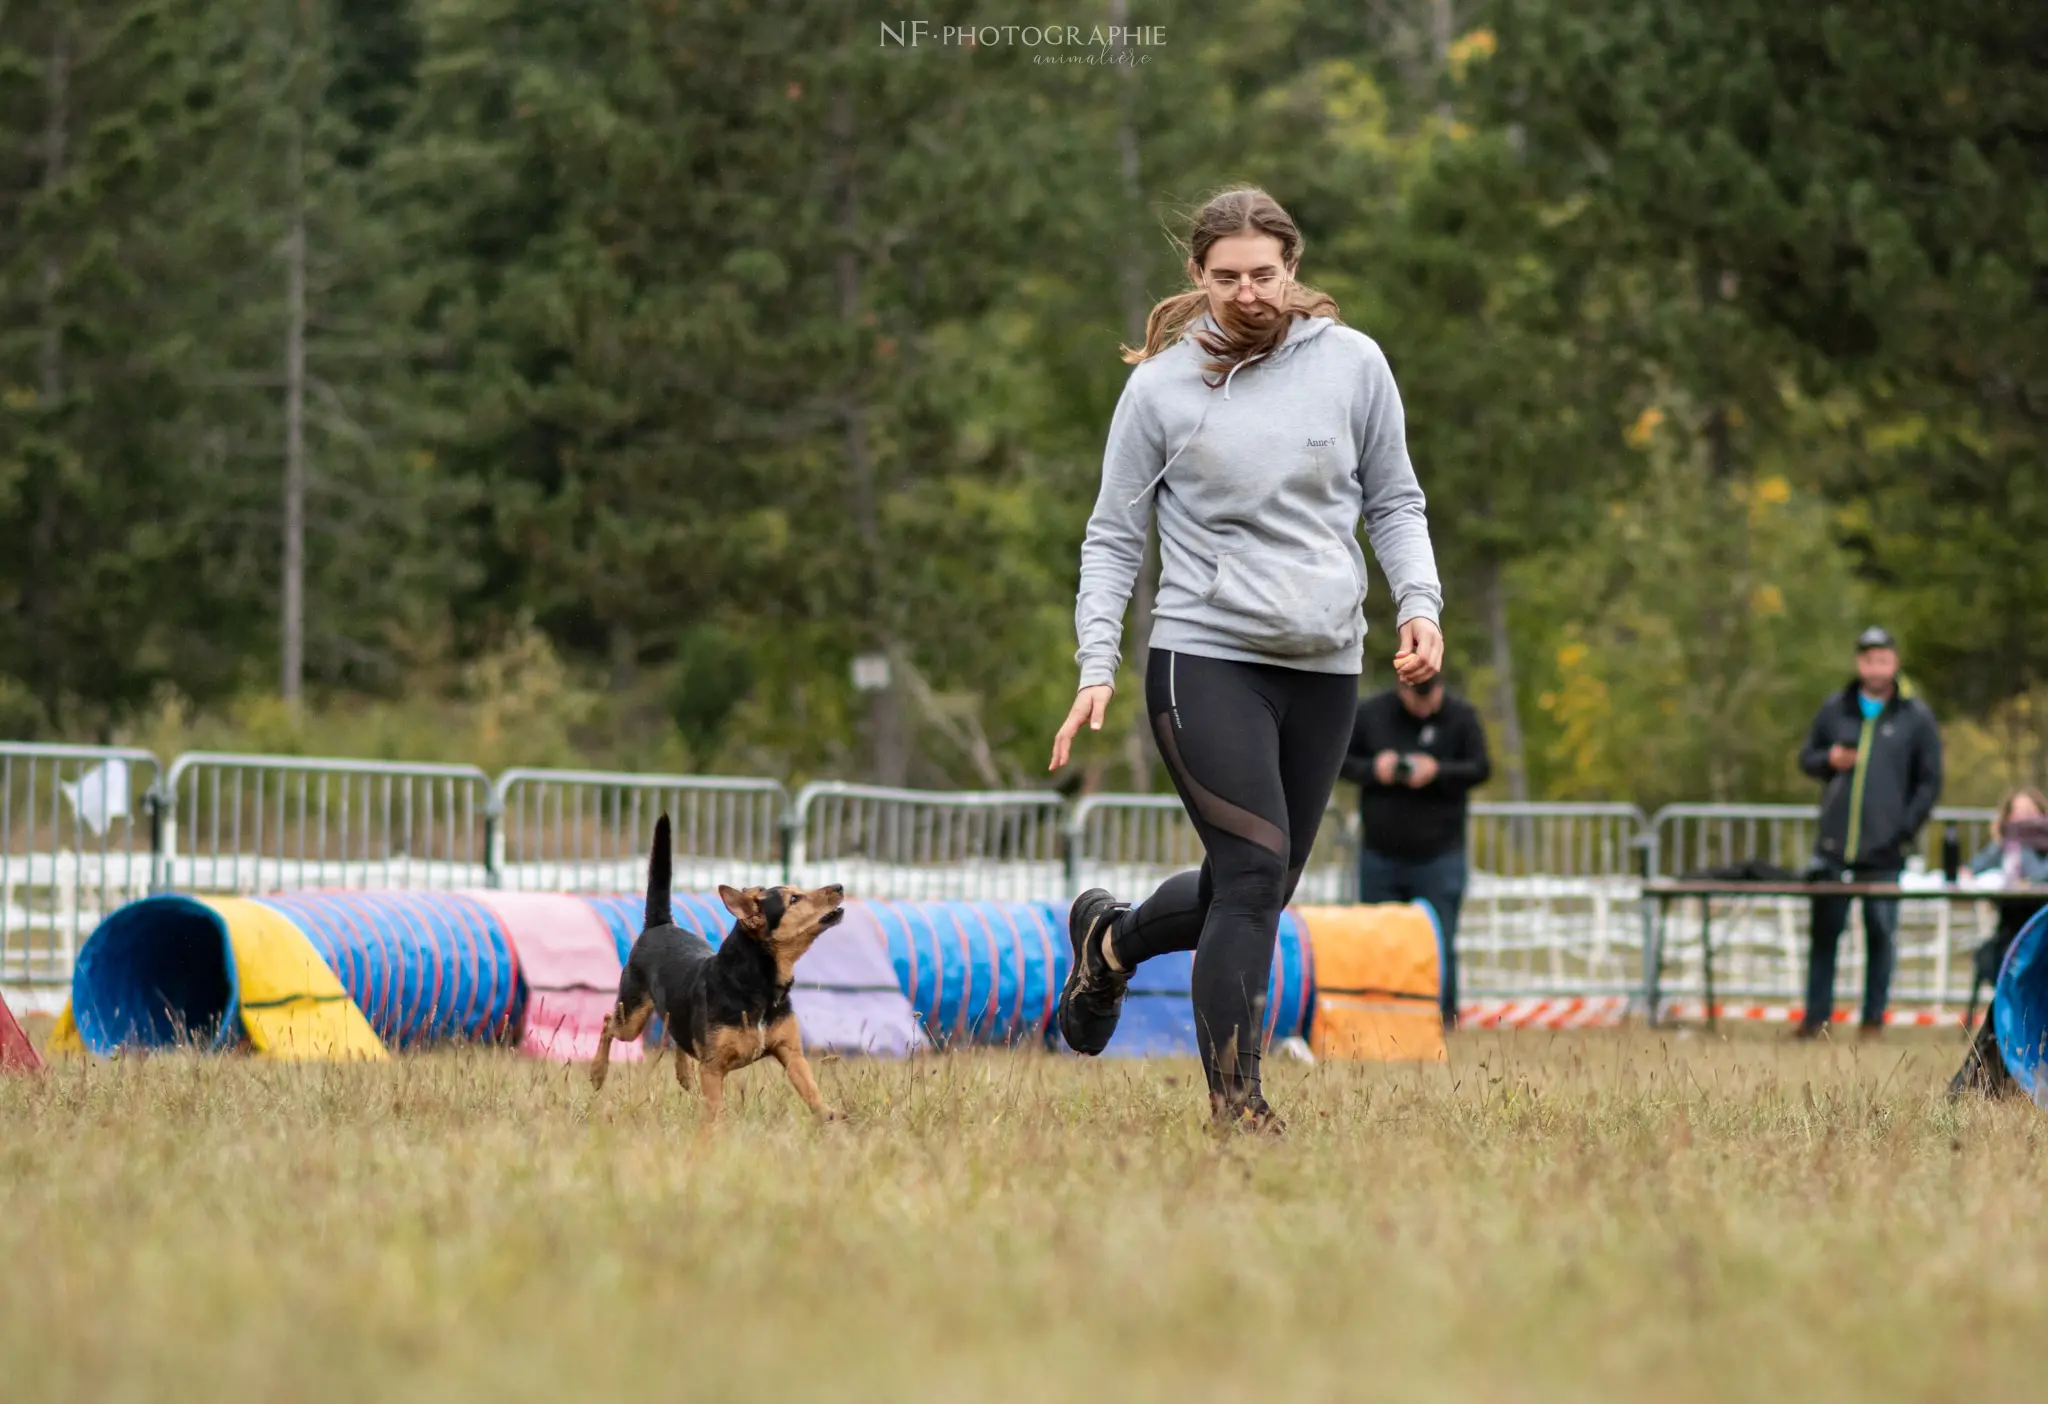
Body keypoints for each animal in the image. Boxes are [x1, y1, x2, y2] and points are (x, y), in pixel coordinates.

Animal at [593, 814, 847, 1121]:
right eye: (794, 900)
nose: (839, 886)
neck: (758, 983)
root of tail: (659, 924)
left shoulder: (791, 1053)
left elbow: (811, 1090)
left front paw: (830, 1117)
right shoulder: (713, 1068)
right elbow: (714, 1110)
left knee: (677, 1036)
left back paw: (685, 1074)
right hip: (631, 1017)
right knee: (608, 1022)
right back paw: (597, 1073)